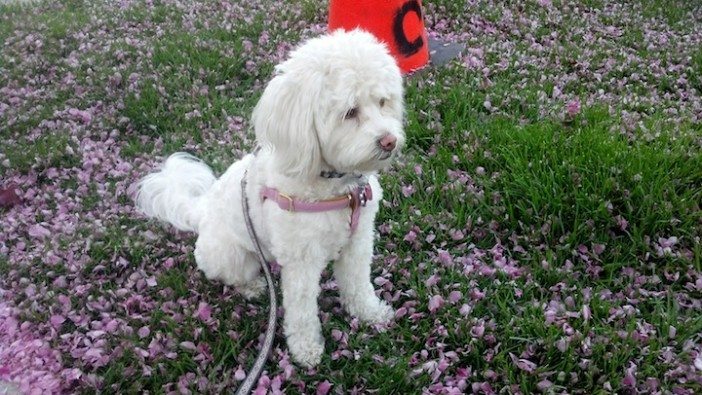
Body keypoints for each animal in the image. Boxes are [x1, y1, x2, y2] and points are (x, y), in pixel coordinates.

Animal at [135, 30, 408, 368]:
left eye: (383, 102)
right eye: (350, 112)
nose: (389, 141)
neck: (334, 185)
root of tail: (202, 211)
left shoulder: (357, 242)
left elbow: (358, 283)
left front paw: (370, 313)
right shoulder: (302, 262)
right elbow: (302, 310)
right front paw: (306, 349)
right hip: (232, 255)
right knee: (231, 275)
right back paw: (252, 285)